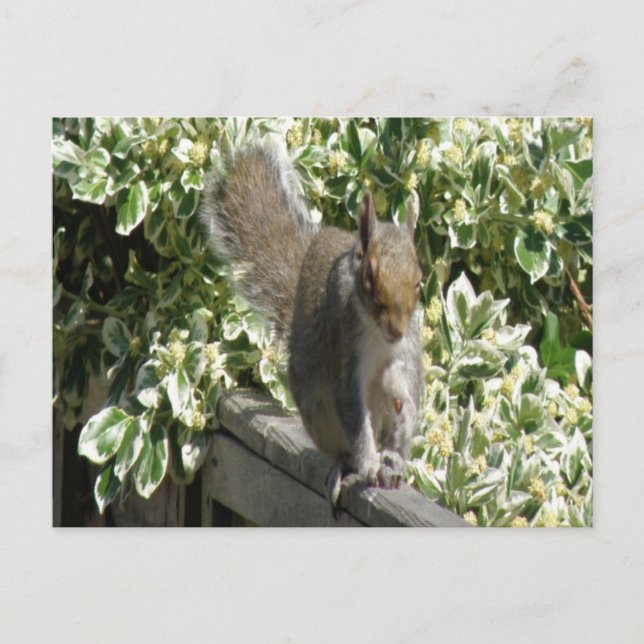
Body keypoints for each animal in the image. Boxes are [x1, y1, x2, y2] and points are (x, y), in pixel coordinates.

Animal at [200, 141, 424, 514]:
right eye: (369, 277)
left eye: (420, 281)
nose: (395, 329)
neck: (377, 333)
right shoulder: (343, 352)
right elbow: (353, 411)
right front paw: (368, 465)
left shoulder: (406, 348)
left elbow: (405, 387)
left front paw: (399, 421)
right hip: (318, 410)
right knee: (343, 448)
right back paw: (349, 466)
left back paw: (391, 458)